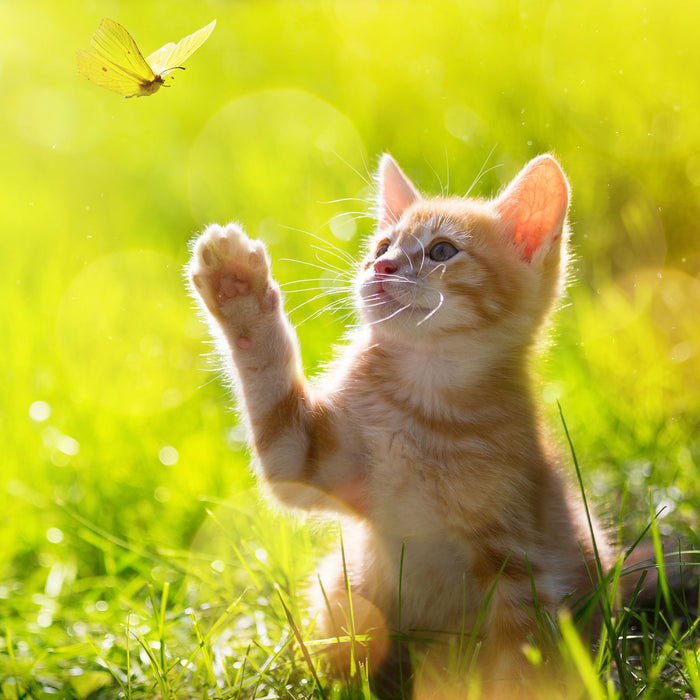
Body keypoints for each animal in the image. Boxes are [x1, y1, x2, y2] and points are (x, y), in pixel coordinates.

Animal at [189, 156, 616, 696]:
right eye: (381, 246)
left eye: (441, 250)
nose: (381, 267)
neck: (420, 403)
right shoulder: (302, 457)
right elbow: (269, 386)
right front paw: (238, 291)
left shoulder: (519, 564)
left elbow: (519, 663)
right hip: (341, 587)